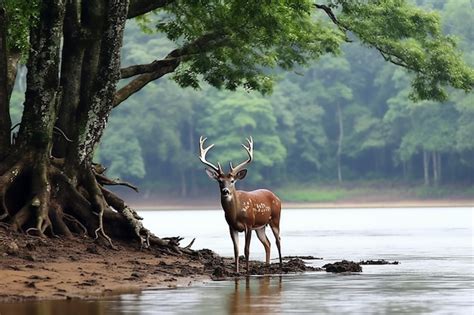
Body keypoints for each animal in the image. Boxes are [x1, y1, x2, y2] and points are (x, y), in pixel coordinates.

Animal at [199, 136, 282, 274]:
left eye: (232, 181)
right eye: (220, 181)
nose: (225, 191)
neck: (235, 214)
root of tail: (277, 197)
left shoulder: (249, 224)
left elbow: (246, 250)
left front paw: (247, 271)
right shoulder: (231, 227)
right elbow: (236, 250)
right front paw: (236, 272)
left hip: (275, 218)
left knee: (278, 240)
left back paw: (280, 265)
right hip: (260, 227)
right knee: (267, 243)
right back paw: (267, 266)